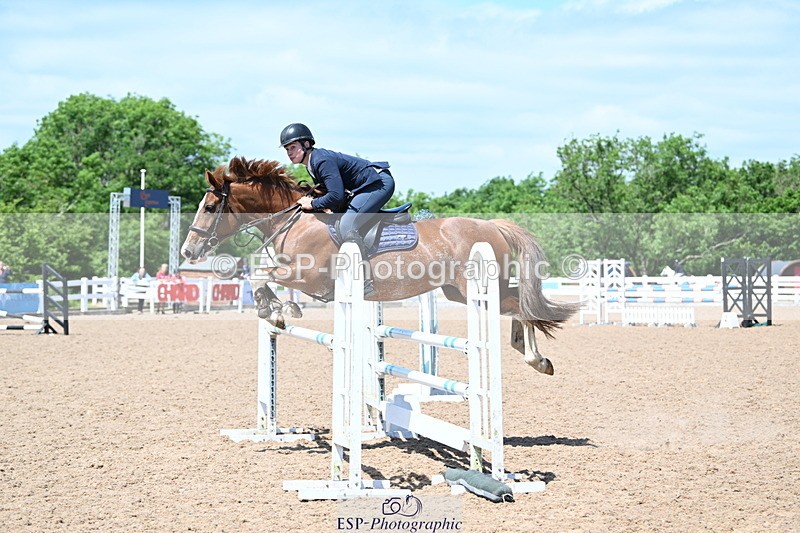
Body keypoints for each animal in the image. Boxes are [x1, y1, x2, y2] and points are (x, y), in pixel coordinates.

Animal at [181, 157, 577, 375]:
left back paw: (537, 360)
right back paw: (526, 350)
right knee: (517, 304)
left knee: (521, 306)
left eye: (211, 207)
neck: (296, 219)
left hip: (474, 287)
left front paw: (274, 311)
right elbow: (262, 276)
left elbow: (259, 276)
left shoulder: (309, 277)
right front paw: (280, 309)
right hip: (458, 291)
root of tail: (493, 225)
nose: (188, 250)